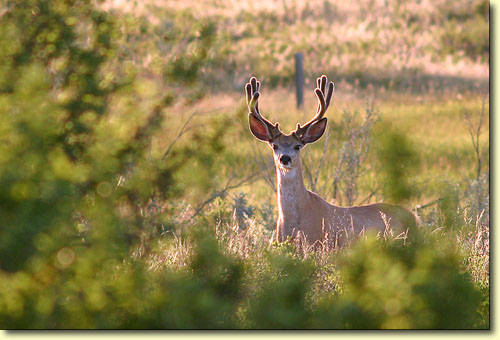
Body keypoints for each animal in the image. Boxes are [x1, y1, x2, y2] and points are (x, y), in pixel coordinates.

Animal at [244, 75, 416, 247]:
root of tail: (413, 218)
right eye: (275, 146)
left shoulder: (318, 243)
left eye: (297, 146)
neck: (295, 222)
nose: (285, 158)